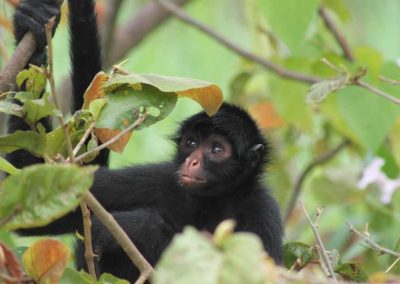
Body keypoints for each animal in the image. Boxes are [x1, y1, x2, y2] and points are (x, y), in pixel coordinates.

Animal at [9, 0, 284, 282]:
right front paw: (34, 21)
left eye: (216, 149)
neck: (208, 203)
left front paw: (144, 227)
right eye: (191, 144)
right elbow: (21, 188)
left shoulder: (261, 212)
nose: (193, 162)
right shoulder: (159, 179)